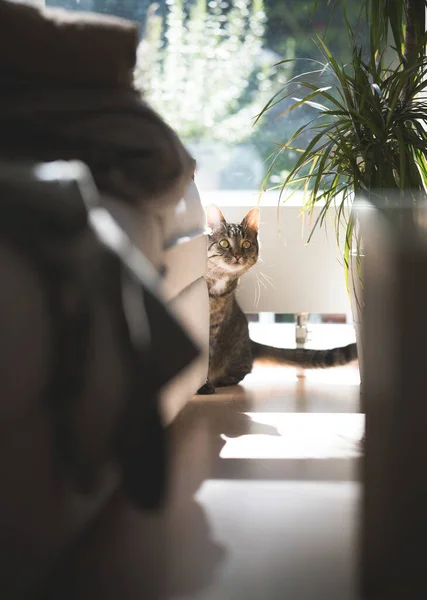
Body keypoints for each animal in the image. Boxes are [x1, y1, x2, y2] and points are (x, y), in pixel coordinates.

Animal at [199, 204, 360, 396]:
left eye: (246, 244)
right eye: (224, 243)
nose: (238, 255)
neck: (217, 284)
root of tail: (251, 344)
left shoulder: (214, 326)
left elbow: (207, 357)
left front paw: (204, 384)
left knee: (241, 371)